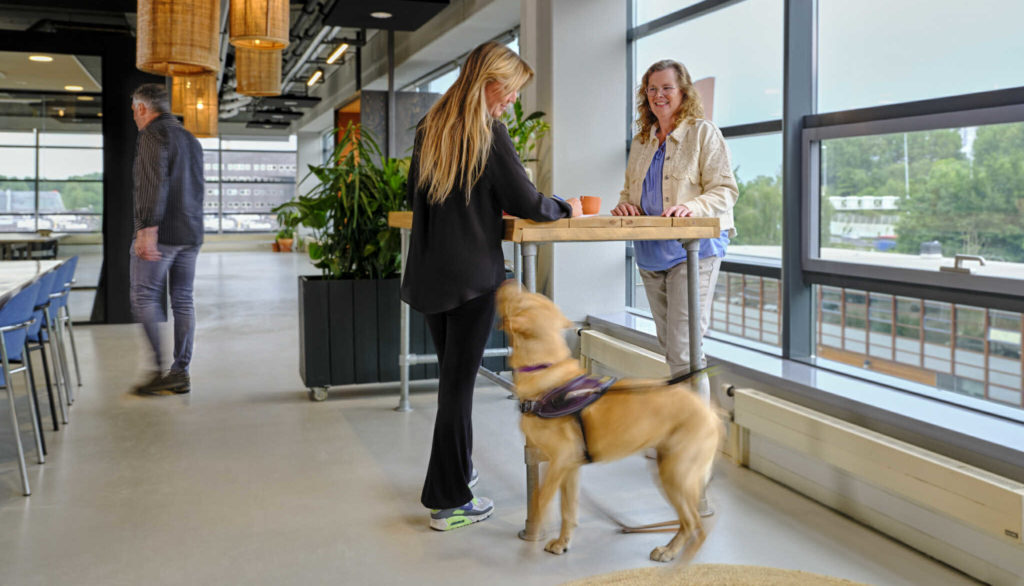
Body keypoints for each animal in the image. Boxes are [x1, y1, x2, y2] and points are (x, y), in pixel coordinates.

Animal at [495, 280, 720, 565]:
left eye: (521, 299)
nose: (509, 281)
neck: (546, 370)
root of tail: (710, 412)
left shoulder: (560, 459)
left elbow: (541, 495)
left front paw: (535, 527)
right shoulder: (570, 466)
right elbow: (568, 509)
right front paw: (562, 542)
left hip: (675, 472)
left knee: (694, 523)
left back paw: (671, 551)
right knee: (690, 522)